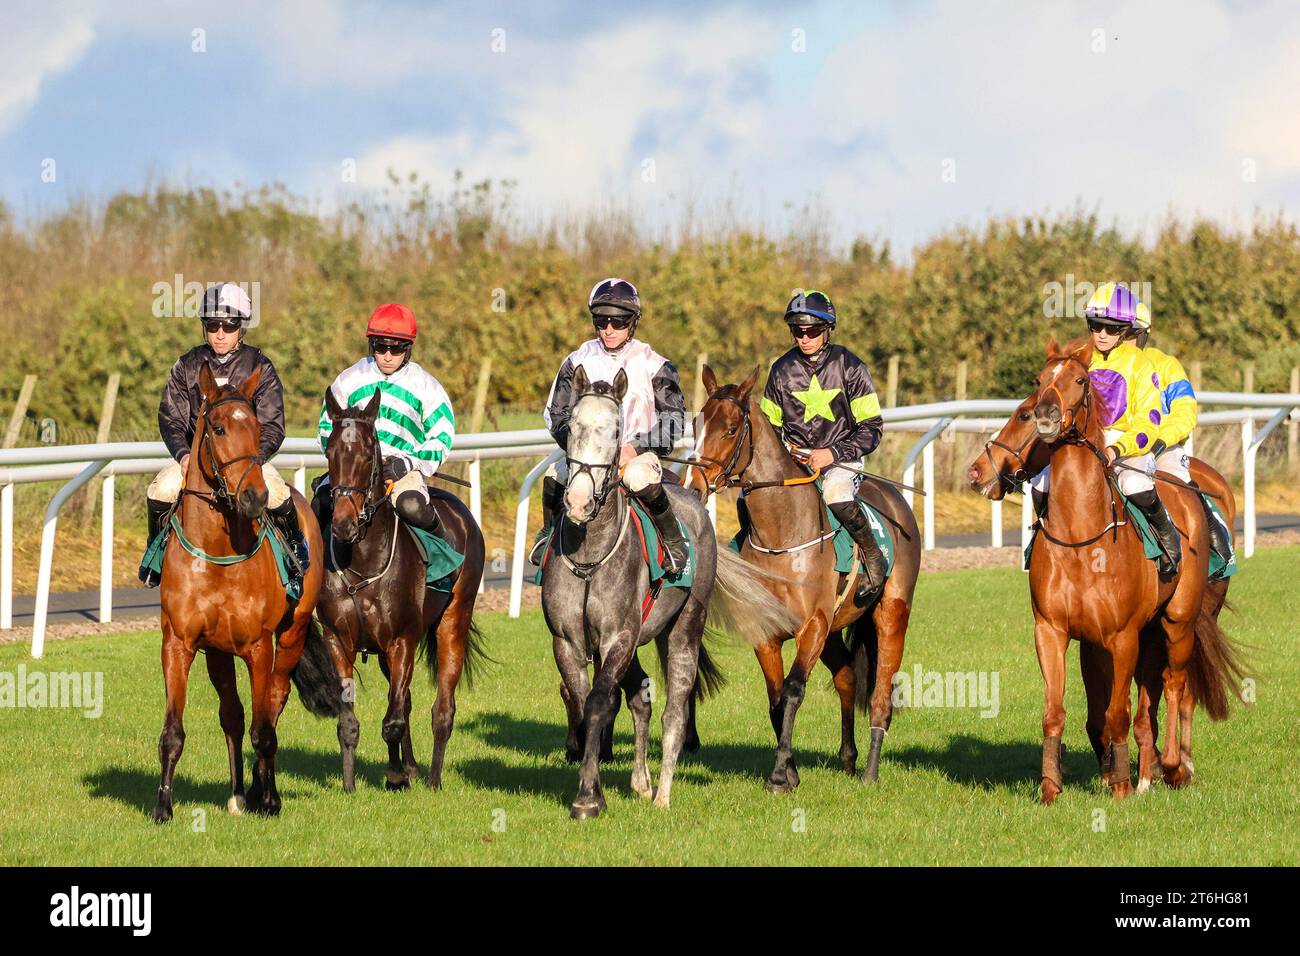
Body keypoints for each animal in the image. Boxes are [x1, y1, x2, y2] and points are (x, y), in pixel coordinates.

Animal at [152, 366, 325, 822]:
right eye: (217, 427)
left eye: (258, 428)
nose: (254, 497)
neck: (217, 554)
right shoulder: (179, 643)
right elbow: (173, 731)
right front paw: (163, 807)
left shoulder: (259, 647)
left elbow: (263, 729)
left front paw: (271, 798)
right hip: (217, 652)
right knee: (232, 713)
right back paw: (238, 793)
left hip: (292, 634)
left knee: (274, 703)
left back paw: (262, 789)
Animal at [289, 390, 488, 790]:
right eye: (330, 452)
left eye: (369, 455)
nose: (344, 524)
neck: (363, 563)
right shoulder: (340, 640)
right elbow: (350, 723)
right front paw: (351, 785)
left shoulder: (402, 640)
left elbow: (392, 722)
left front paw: (396, 776)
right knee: (406, 701)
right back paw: (411, 767)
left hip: (453, 621)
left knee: (442, 707)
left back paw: (432, 778)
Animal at [538, 366, 790, 822]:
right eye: (573, 427)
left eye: (616, 430)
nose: (579, 502)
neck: (590, 557)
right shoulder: (568, 641)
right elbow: (585, 706)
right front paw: (593, 783)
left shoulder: (617, 638)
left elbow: (599, 703)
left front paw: (587, 799)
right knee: (640, 698)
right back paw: (641, 782)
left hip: (684, 628)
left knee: (674, 710)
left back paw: (663, 793)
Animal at [681, 361, 925, 790]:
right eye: (697, 425)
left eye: (730, 429)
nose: (693, 487)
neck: (784, 534)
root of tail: (896, 500)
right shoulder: (769, 631)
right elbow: (776, 700)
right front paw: (790, 770)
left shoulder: (812, 624)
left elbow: (793, 691)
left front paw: (780, 775)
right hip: (834, 629)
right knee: (847, 677)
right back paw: (848, 759)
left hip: (891, 614)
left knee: (880, 693)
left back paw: (870, 771)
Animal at [967, 340, 1237, 806]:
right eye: (1038, 382)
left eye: (1078, 381)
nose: (977, 472)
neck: (1081, 537)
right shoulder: (1055, 631)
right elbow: (1059, 712)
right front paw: (1053, 786)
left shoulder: (1123, 636)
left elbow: (1117, 713)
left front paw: (1122, 785)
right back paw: (1149, 770)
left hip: (1179, 621)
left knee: (1175, 686)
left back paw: (1174, 766)